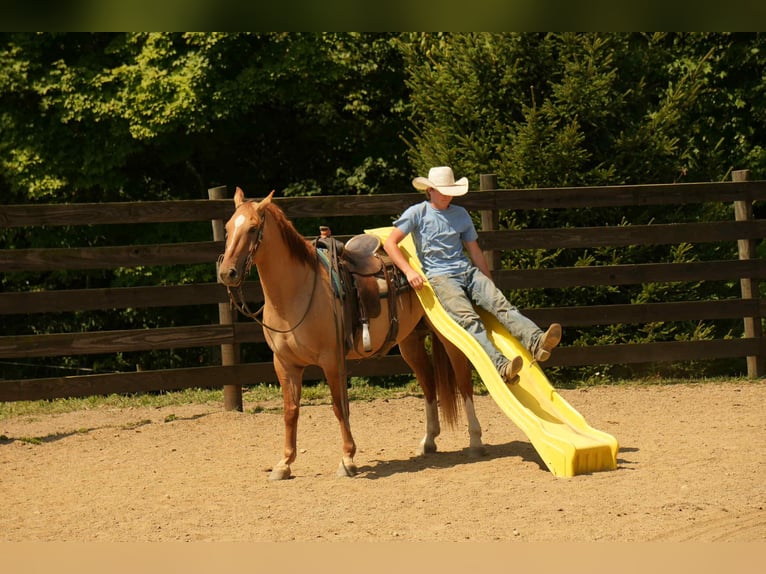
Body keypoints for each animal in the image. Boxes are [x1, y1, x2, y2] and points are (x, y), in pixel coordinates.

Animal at [218, 187, 485, 480]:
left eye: (253, 228)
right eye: (228, 228)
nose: (227, 272)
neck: (298, 292)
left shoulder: (331, 360)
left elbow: (339, 406)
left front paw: (347, 459)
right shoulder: (284, 364)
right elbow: (290, 411)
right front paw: (284, 463)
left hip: (447, 338)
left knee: (463, 379)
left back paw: (475, 441)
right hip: (410, 341)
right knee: (428, 382)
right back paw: (428, 441)